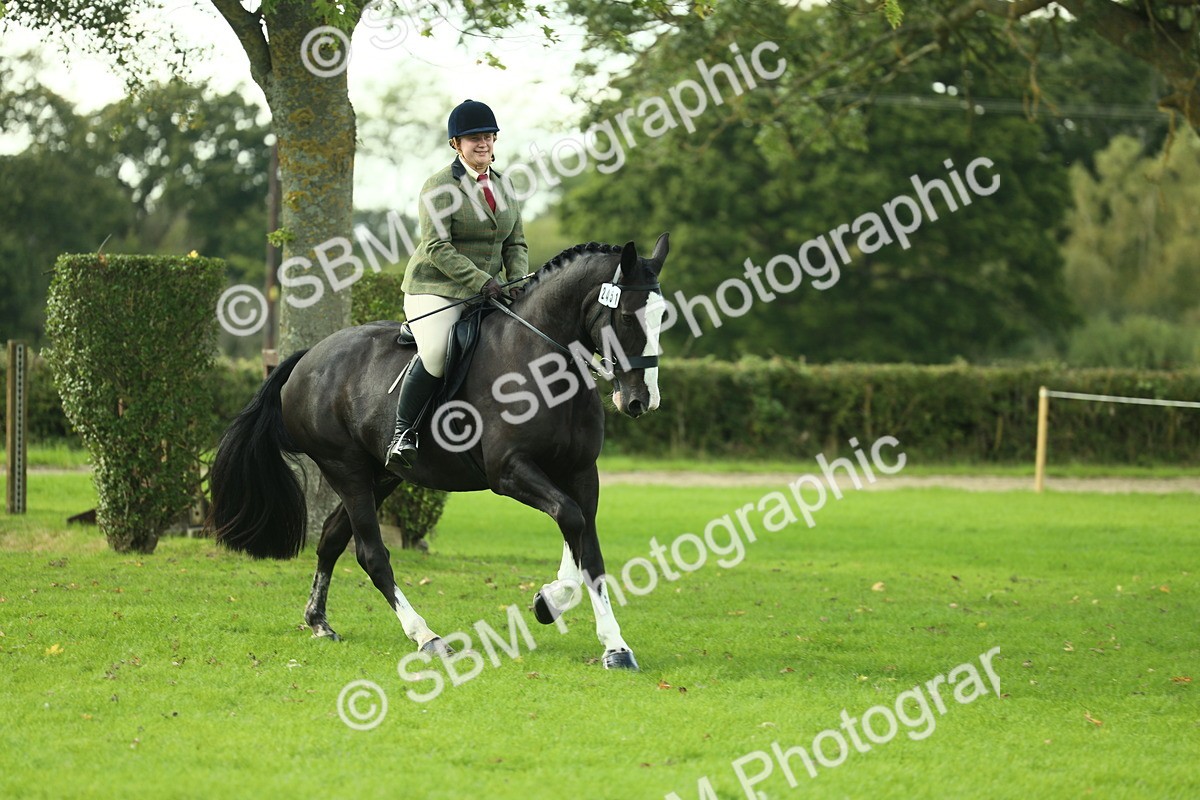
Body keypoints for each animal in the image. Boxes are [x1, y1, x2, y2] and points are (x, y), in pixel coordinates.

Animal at [207, 234, 669, 671]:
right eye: (626, 315)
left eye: (661, 316)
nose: (641, 401)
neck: (545, 363)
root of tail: (307, 359)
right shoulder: (509, 471)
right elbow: (572, 519)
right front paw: (549, 601)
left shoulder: (581, 472)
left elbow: (588, 547)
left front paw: (612, 645)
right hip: (346, 468)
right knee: (371, 554)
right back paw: (426, 637)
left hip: (382, 475)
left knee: (332, 539)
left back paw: (319, 622)